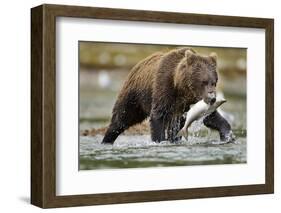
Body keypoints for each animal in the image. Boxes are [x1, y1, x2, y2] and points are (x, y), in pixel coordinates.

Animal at [101, 47, 233, 144]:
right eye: (204, 82)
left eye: (214, 82)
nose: (212, 98)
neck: (182, 89)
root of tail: (137, 65)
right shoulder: (164, 88)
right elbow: (158, 116)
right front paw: (159, 141)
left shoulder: (192, 103)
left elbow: (211, 117)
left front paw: (228, 136)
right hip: (134, 96)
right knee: (121, 118)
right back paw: (107, 140)